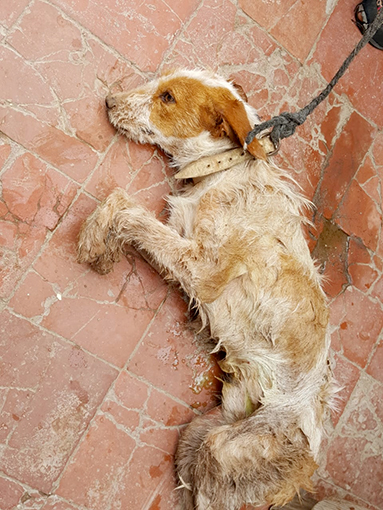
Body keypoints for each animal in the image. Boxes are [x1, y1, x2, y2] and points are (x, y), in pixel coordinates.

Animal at [77, 68, 336, 510]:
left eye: (167, 97)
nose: (109, 101)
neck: (222, 172)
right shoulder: (180, 251)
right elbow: (129, 211)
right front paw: (105, 238)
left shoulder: (204, 272)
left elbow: (125, 204)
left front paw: (95, 240)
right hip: (196, 436)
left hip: (222, 447)